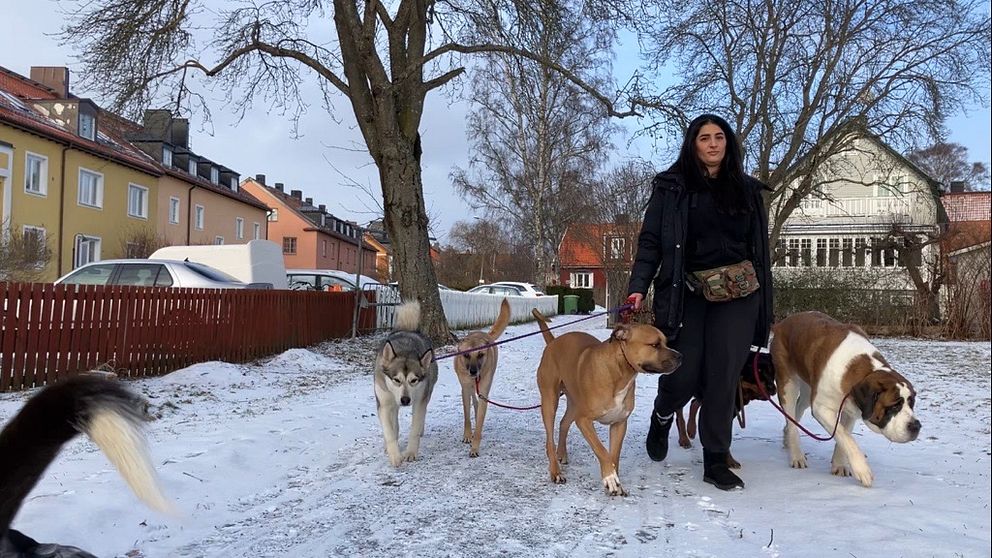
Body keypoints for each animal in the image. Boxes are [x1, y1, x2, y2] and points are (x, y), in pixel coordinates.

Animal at [372, 302, 438, 468]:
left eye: (414, 380)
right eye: (396, 380)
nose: (405, 400)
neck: (405, 349)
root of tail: (408, 329)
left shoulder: (419, 401)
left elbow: (414, 428)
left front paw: (410, 452)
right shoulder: (384, 403)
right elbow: (389, 431)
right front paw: (395, 455)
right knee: (394, 421)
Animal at [452, 300, 512, 458]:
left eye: (480, 355)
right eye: (466, 355)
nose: (473, 371)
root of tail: (485, 334)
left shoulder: (484, 389)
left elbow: (479, 424)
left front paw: (475, 447)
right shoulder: (465, 389)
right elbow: (467, 416)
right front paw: (467, 435)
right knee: (473, 398)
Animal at [536, 310, 680, 498]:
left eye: (666, 342)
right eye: (655, 345)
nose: (681, 357)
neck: (620, 373)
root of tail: (553, 341)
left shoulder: (619, 424)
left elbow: (614, 456)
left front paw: (617, 482)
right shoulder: (584, 421)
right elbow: (602, 450)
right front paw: (610, 478)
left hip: (574, 403)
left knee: (564, 423)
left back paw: (562, 453)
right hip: (549, 401)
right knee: (550, 436)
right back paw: (555, 470)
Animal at [776, 312, 924, 488]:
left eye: (911, 403)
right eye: (895, 406)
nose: (916, 426)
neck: (863, 373)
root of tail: (783, 322)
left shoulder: (851, 408)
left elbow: (844, 434)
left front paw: (839, 465)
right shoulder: (822, 408)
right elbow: (846, 438)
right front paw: (862, 470)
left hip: (807, 389)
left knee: (796, 411)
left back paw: (787, 438)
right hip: (788, 384)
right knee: (791, 414)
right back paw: (796, 454)